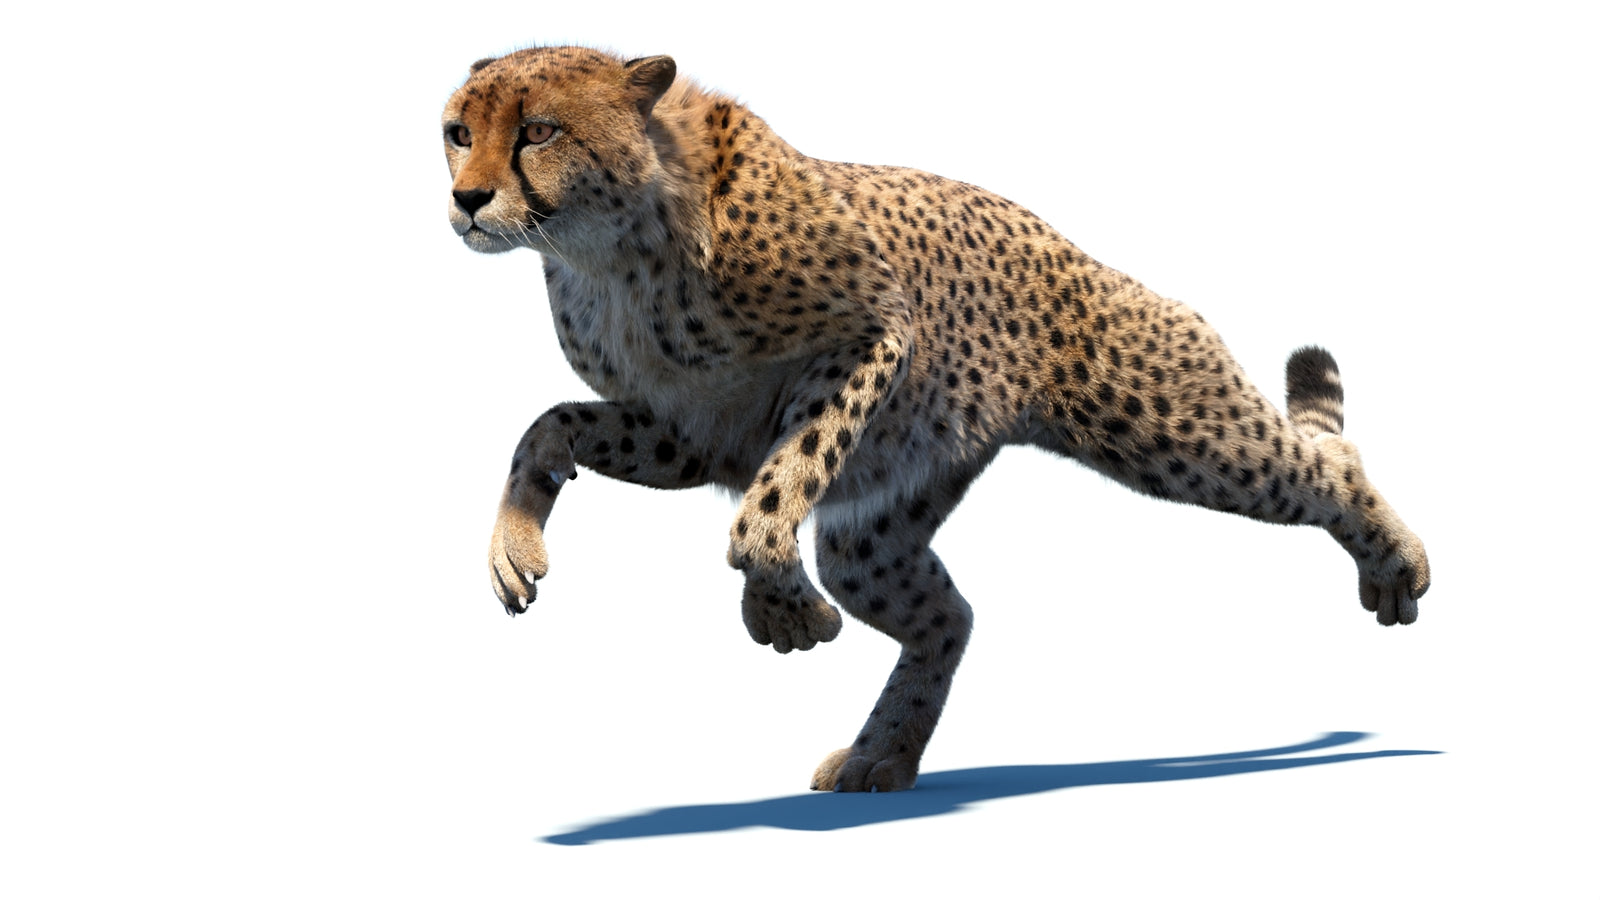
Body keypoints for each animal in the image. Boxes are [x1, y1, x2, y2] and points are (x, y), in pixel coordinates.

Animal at [441, 46, 1430, 792]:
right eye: (457, 132)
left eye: (538, 130)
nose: (467, 198)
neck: (612, 250)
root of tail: (1073, 245)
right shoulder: (687, 431)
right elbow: (547, 424)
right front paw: (514, 544)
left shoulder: (874, 333)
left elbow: (769, 499)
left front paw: (782, 611)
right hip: (876, 527)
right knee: (948, 615)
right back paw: (881, 754)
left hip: (1173, 424)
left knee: (1320, 463)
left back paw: (1397, 565)